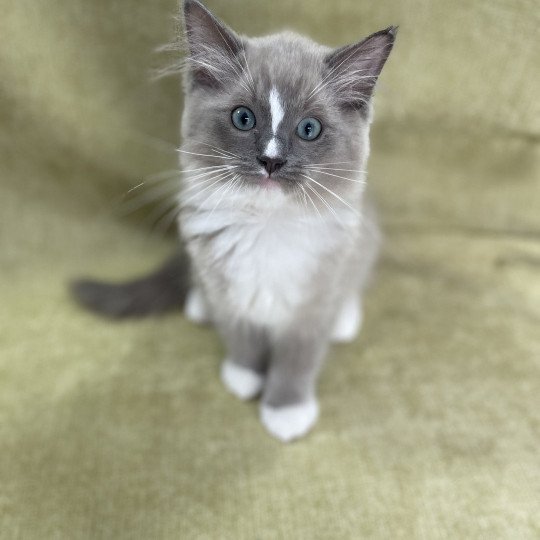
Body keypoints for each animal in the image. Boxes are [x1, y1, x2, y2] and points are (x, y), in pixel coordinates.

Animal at [73, 0, 396, 442]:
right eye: (243, 119)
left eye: (309, 129)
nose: (271, 160)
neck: (265, 228)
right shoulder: (224, 285)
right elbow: (240, 335)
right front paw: (244, 375)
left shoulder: (314, 300)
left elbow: (297, 357)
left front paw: (285, 409)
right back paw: (199, 305)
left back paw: (345, 320)